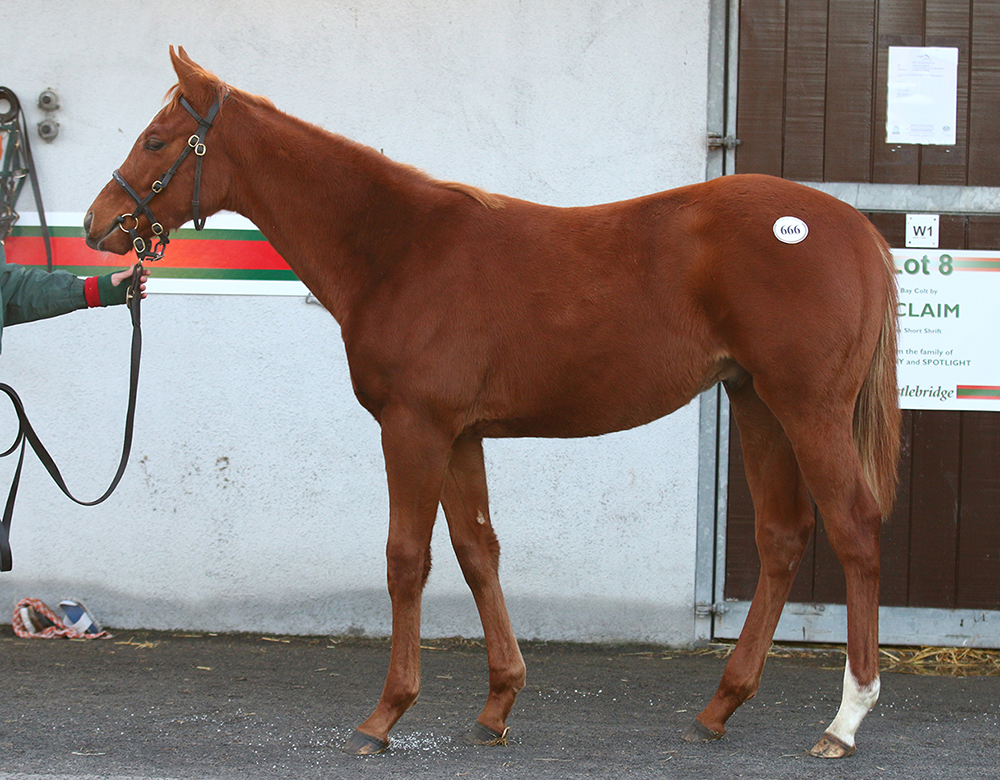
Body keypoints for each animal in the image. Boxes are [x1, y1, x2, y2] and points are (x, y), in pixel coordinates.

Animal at [86, 47, 900, 756]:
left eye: (156, 140)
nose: (98, 224)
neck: (399, 249)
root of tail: (855, 228)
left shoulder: (413, 429)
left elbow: (406, 559)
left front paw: (384, 716)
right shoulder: (460, 435)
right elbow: (478, 552)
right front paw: (498, 705)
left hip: (810, 408)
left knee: (857, 531)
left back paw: (845, 720)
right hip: (756, 402)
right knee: (783, 537)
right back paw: (719, 708)